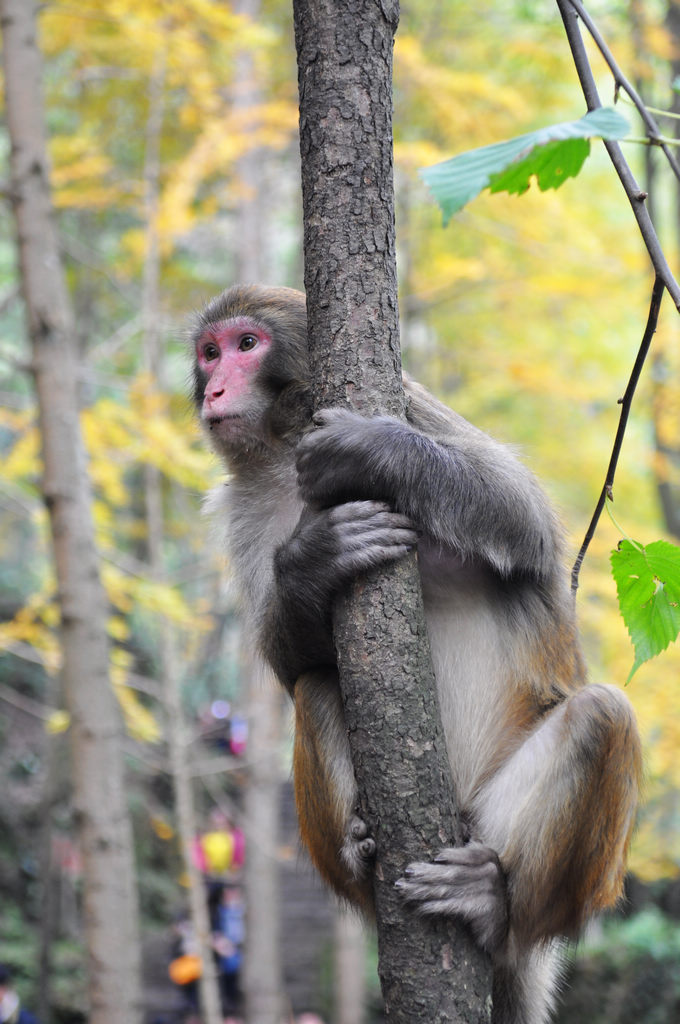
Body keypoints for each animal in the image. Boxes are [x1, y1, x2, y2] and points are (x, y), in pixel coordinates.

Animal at [191, 284, 643, 1024]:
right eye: (209, 352)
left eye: (246, 344)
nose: (215, 388)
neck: (281, 450)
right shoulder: (242, 504)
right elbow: (289, 666)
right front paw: (313, 562)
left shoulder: (413, 402)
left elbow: (527, 523)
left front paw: (375, 449)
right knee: (317, 683)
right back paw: (358, 854)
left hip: (494, 828)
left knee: (603, 716)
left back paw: (499, 911)